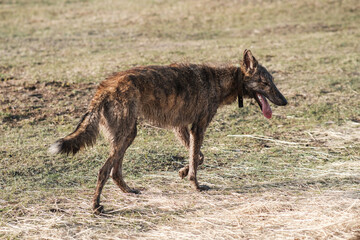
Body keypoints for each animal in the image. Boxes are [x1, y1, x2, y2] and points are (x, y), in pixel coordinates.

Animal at [49, 49, 288, 214]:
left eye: (272, 81)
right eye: (265, 83)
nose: (285, 101)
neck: (220, 80)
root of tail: (102, 88)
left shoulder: (182, 128)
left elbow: (198, 156)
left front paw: (183, 172)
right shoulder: (198, 127)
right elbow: (196, 158)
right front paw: (195, 185)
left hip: (128, 135)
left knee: (115, 171)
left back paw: (128, 191)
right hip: (124, 137)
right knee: (103, 171)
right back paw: (96, 207)